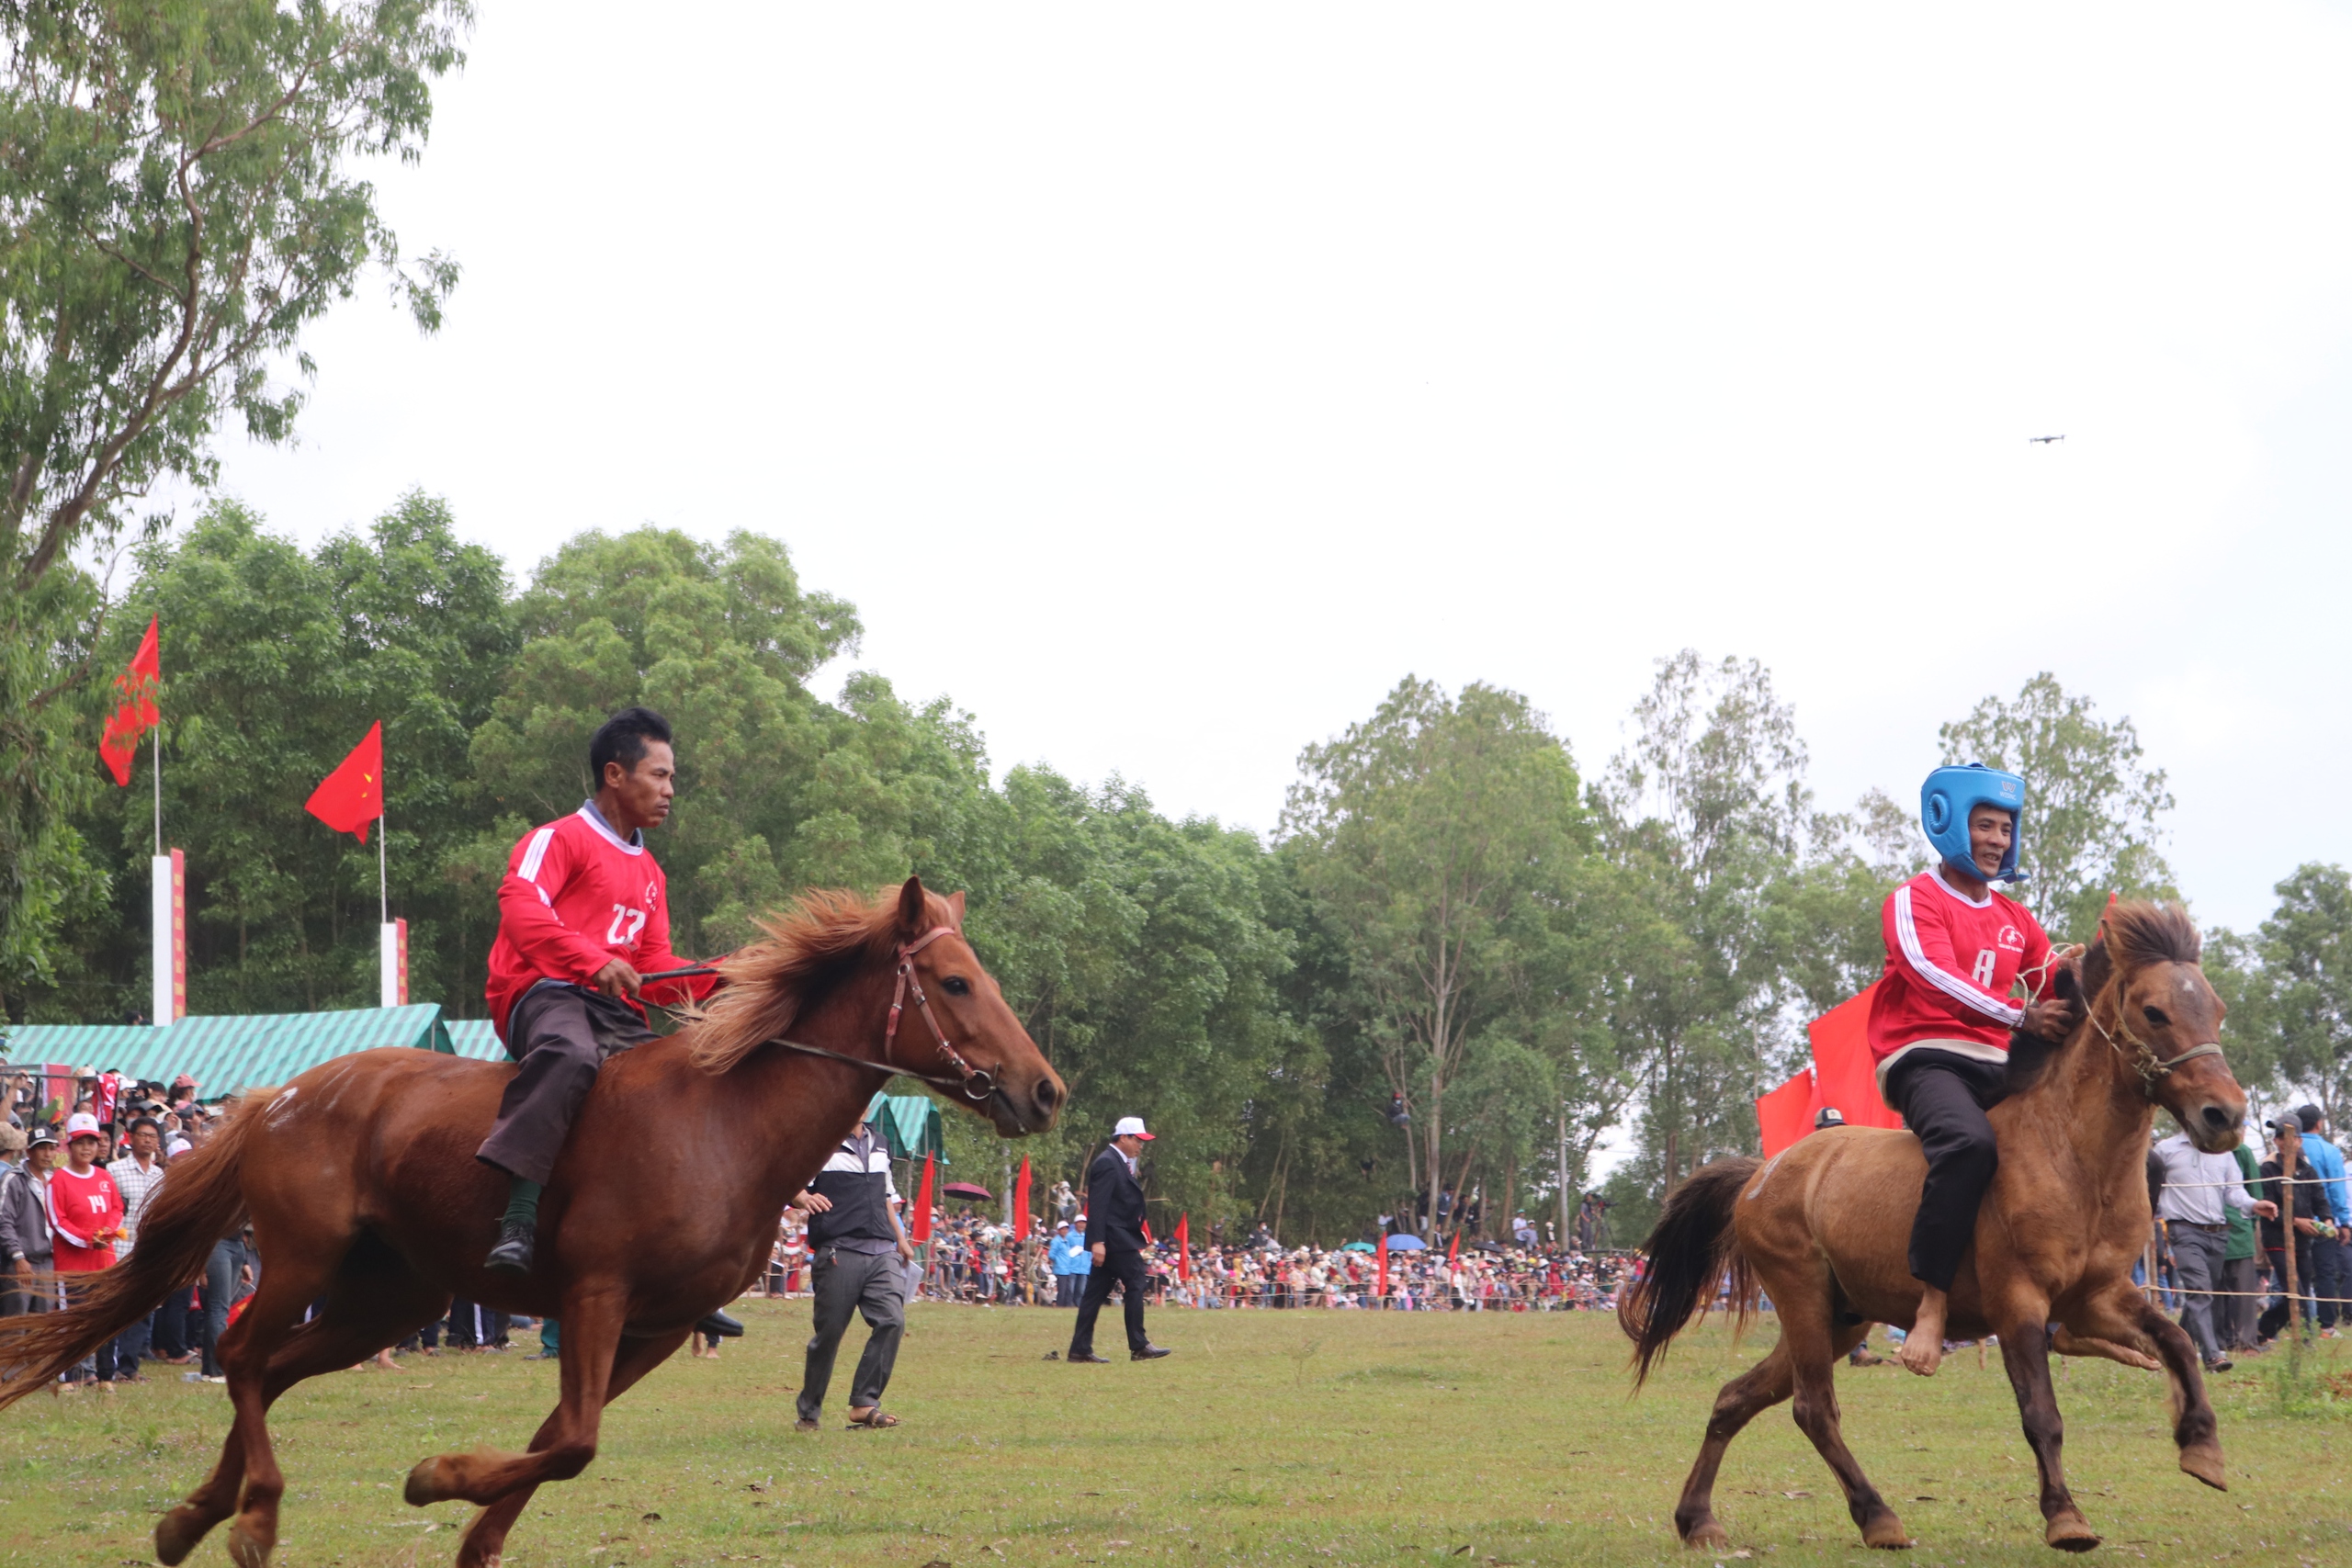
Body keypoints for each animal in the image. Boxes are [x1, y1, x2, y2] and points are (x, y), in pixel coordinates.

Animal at [0, 879, 1058, 1568]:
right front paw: (436, 1478)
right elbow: (575, 1440)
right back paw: (252, 1518)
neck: (724, 1123)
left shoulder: (658, 1325)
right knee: (243, 1351)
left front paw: (475, 1529)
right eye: (956, 983)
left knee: (273, 1366)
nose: (1044, 1091)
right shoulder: (595, 1295)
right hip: (301, 1260)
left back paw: (197, 1515)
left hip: (389, 1298)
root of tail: (281, 1096)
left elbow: (560, 1437)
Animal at [1627, 907, 2248, 1561]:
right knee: (1813, 1408)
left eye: (2218, 1009)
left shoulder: (2100, 1296)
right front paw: (2065, 1516)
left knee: (1736, 1397)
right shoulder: (2018, 1304)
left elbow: (2177, 1341)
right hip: (1800, 1299)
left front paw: (2201, 1447)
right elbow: (2042, 1414)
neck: (2071, 1155)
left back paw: (1698, 1519)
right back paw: (1877, 1515)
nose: (2226, 1115)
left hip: (1840, 1320)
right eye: (2154, 1011)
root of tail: (1761, 1173)